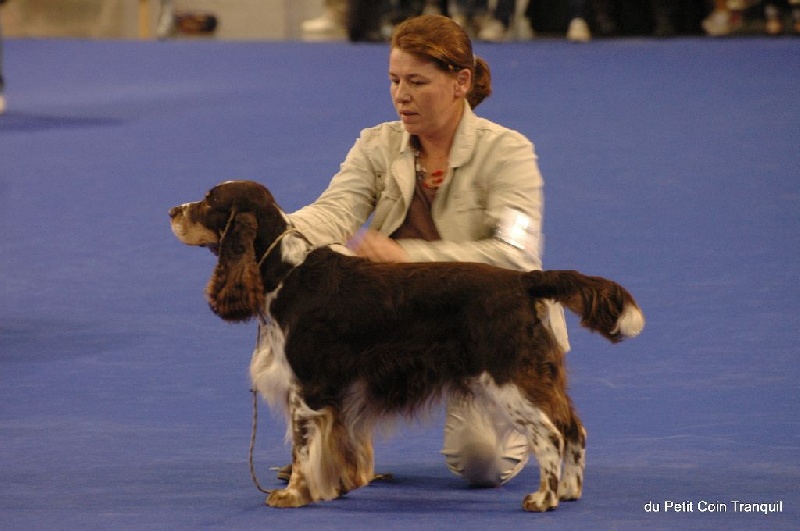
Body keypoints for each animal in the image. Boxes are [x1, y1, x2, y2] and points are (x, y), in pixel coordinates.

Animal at [169, 181, 644, 512]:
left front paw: (292, 494)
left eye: (210, 201)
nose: (172, 209)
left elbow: (303, 447)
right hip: (535, 372)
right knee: (574, 428)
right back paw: (570, 492)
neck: (285, 273)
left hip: (507, 376)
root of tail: (522, 281)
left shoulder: (308, 386)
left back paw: (543, 499)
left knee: (550, 433)